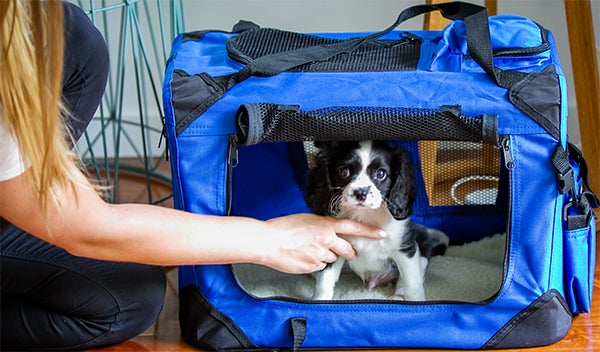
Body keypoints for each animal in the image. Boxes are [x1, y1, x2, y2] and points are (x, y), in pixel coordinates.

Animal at [304, 140, 450, 300]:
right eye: (344, 171)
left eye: (381, 174)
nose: (361, 193)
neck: (365, 216)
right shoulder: (336, 245)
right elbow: (325, 280)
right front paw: (319, 302)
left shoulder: (405, 250)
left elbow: (412, 283)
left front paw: (417, 302)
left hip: (422, 253)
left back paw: (398, 296)